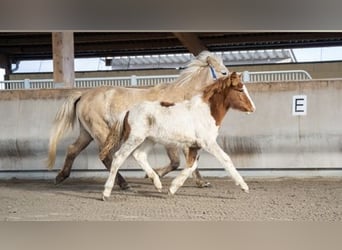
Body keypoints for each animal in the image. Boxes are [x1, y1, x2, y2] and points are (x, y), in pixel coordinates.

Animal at [46, 50, 228, 188]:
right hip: (101, 132)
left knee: (72, 149)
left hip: (87, 133)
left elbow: (190, 159)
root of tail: (83, 95)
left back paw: (60, 177)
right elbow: (176, 161)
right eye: (224, 72)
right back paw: (123, 183)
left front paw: (202, 182)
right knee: (106, 156)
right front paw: (154, 176)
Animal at [100, 72, 255, 199]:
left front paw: (172, 189)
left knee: (139, 155)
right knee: (118, 157)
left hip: (149, 140)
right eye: (240, 89)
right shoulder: (208, 142)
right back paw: (106, 193)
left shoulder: (194, 145)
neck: (206, 112)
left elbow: (192, 165)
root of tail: (128, 111)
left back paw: (158, 184)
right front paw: (244, 186)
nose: (252, 108)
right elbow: (226, 159)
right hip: (134, 138)